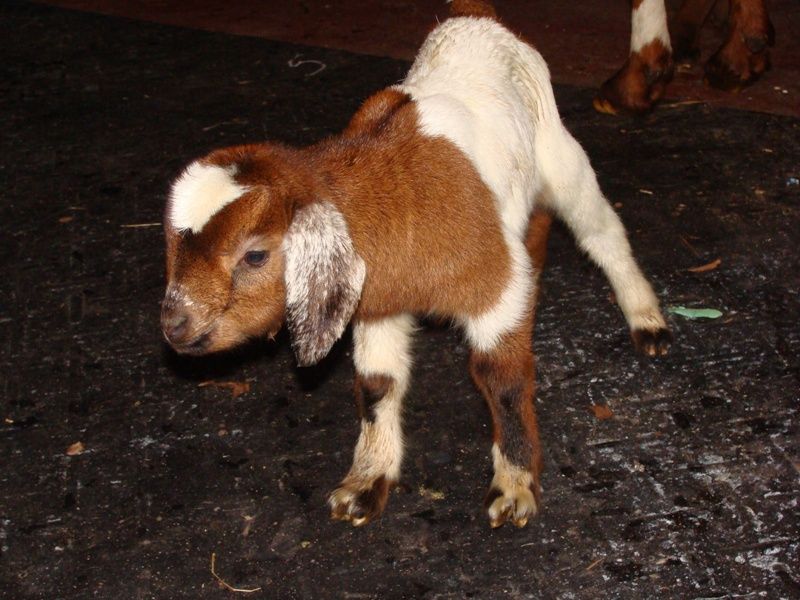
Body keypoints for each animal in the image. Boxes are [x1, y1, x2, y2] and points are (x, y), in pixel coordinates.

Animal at [161, 0, 671, 528]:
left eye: (256, 254)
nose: (174, 325)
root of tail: (477, 15)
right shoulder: (376, 303)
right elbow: (377, 386)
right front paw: (366, 481)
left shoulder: (494, 283)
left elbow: (502, 379)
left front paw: (514, 485)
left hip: (559, 152)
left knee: (600, 231)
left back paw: (647, 319)